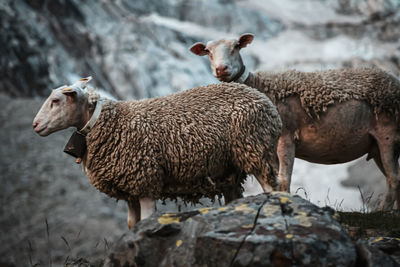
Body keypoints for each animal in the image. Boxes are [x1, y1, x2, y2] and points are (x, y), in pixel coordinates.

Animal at [32, 77, 282, 228]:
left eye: (56, 100)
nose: (35, 125)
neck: (103, 122)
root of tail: (267, 103)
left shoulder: (145, 180)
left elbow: (147, 220)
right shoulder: (129, 190)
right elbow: (133, 225)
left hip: (257, 150)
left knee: (273, 188)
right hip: (230, 171)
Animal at [190, 33, 400, 210]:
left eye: (236, 46)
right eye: (208, 51)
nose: (221, 69)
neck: (259, 87)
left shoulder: (286, 138)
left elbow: (283, 180)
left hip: (388, 135)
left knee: (394, 180)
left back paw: (384, 212)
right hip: (376, 146)